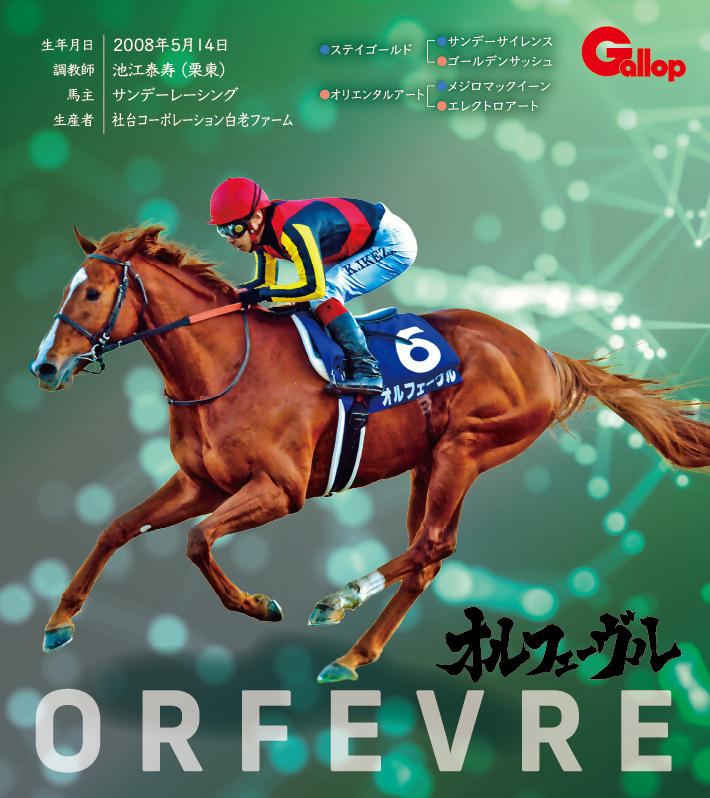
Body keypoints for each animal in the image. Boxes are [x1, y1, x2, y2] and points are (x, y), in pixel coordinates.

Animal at [29, 224, 710, 683]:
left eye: (92, 294)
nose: (45, 366)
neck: (226, 366)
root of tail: (542, 353)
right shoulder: (202, 483)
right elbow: (117, 528)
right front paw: (60, 622)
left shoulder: (281, 490)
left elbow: (198, 540)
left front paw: (257, 605)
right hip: (428, 462)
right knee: (428, 557)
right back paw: (355, 654)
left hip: (467, 449)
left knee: (432, 545)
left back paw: (339, 601)